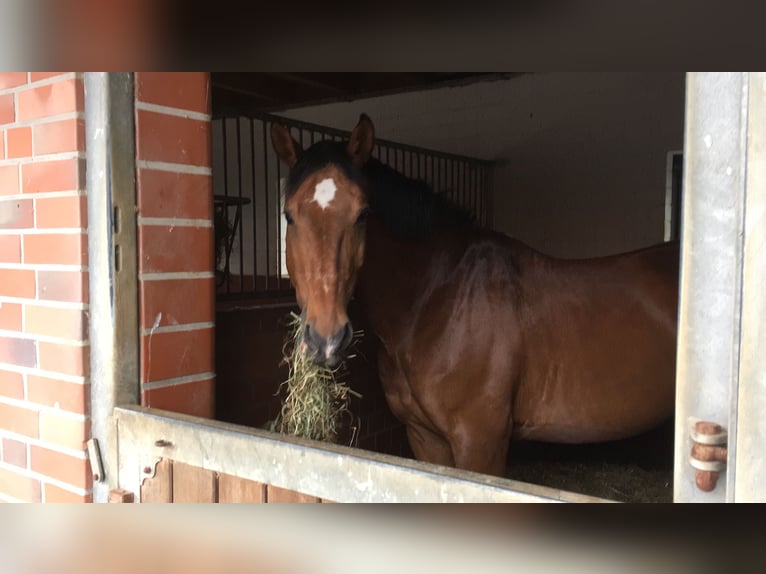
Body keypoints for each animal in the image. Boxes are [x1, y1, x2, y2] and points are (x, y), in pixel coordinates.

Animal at [270, 115, 680, 480]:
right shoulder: (424, 437)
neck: (436, 298)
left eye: (362, 214)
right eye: (288, 215)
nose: (326, 339)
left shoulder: (481, 442)